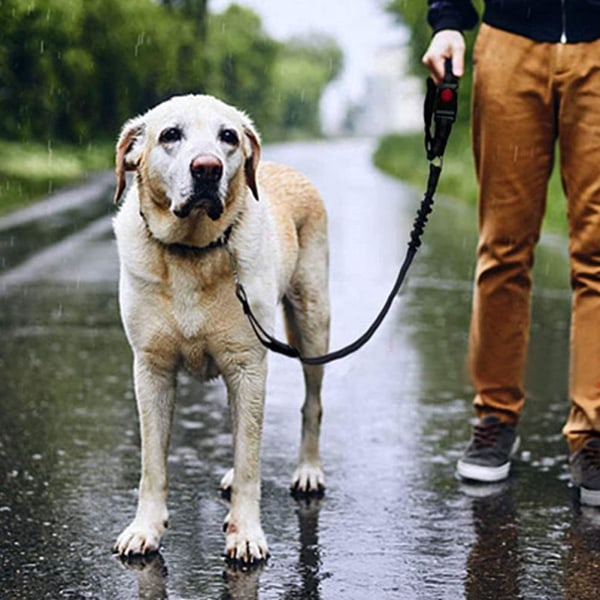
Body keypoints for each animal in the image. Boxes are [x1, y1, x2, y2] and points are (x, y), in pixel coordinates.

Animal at [112, 96, 328, 564]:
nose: (208, 168)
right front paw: (145, 529)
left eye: (227, 136)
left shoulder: (248, 366)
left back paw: (308, 470)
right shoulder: (151, 370)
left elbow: (250, 464)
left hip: (313, 324)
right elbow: (151, 464)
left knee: (311, 404)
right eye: (170, 135)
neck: (192, 252)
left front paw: (245, 533)